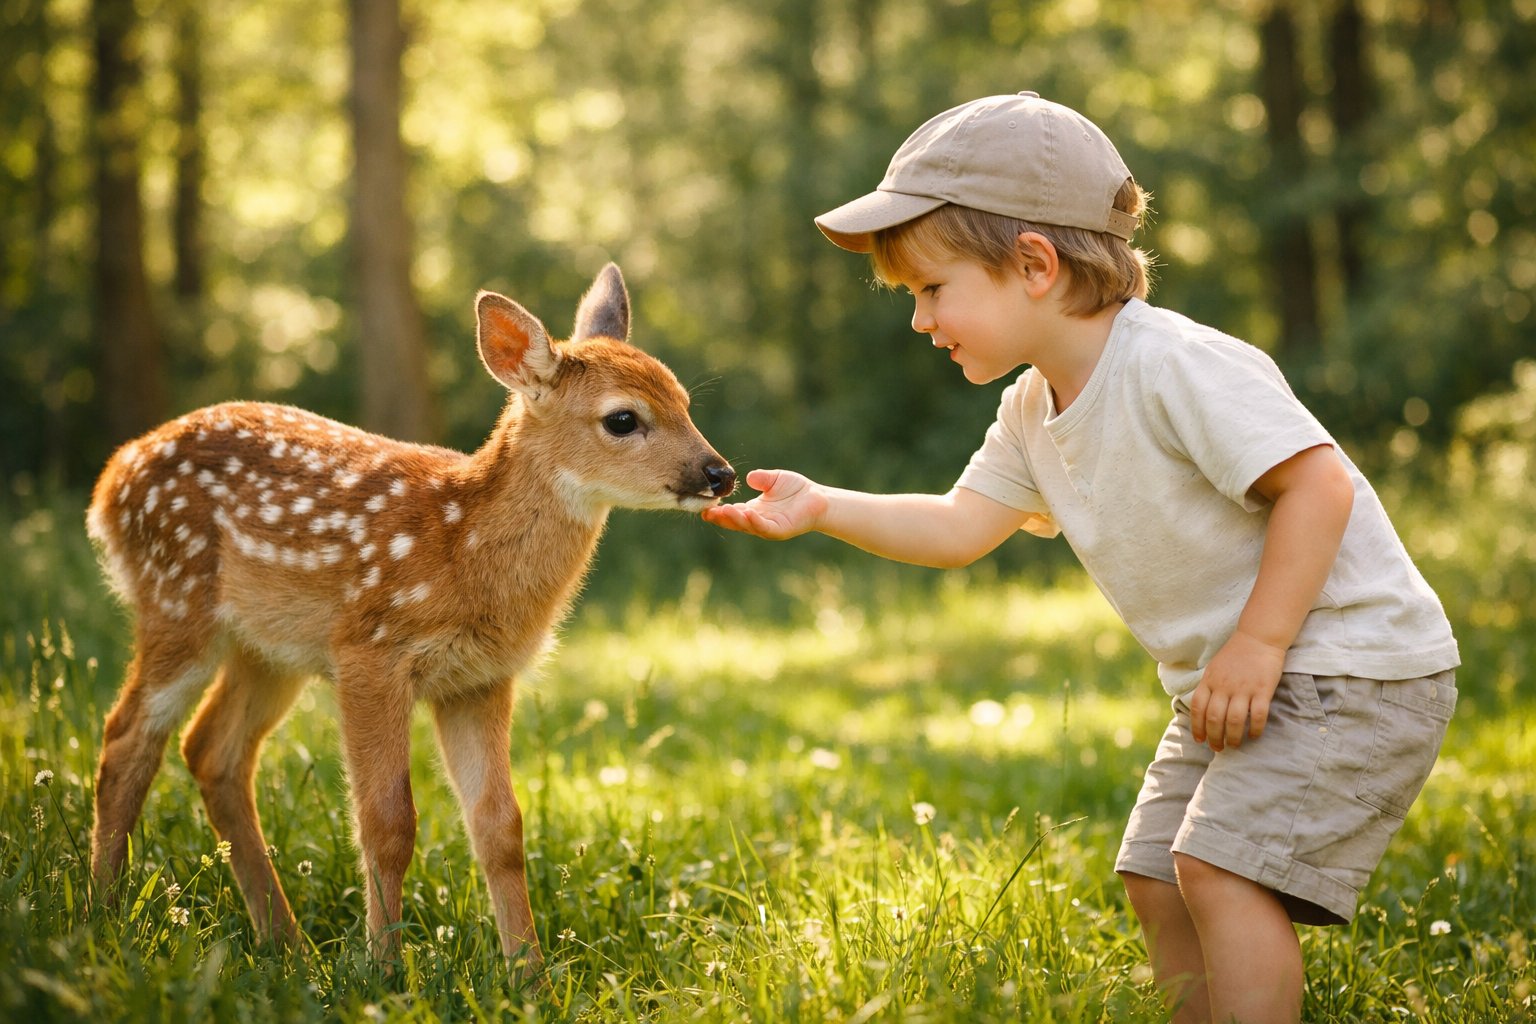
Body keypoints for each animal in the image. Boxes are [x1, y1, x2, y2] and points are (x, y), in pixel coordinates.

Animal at [85, 263, 734, 973]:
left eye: (685, 403)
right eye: (622, 418)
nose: (720, 473)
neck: (462, 550)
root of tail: (110, 481)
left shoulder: (479, 679)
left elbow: (501, 826)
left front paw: (529, 976)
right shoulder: (370, 653)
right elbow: (388, 822)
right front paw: (384, 971)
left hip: (270, 650)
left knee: (212, 750)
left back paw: (286, 944)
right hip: (177, 601)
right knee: (126, 736)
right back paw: (104, 919)